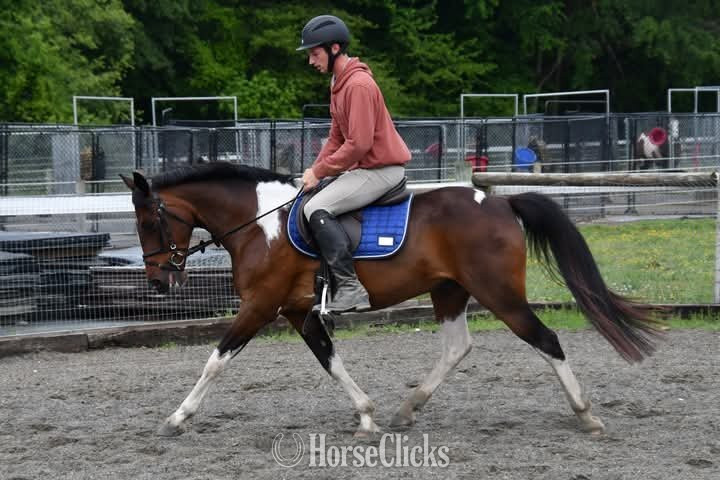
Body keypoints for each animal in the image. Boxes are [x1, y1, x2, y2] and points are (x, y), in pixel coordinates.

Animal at [120, 161, 661, 438]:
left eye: (148, 221)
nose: (158, 282)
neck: (260, 223)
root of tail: (500, 201)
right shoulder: (297, 311)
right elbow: (330, 362)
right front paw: (366, 414)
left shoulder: (260, 306)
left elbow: (215, 361)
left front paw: (177, 417)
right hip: (449, 291)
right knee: (457, 348)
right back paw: (408, 409)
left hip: (500, 294)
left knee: (546, 340)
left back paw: (585, 414)